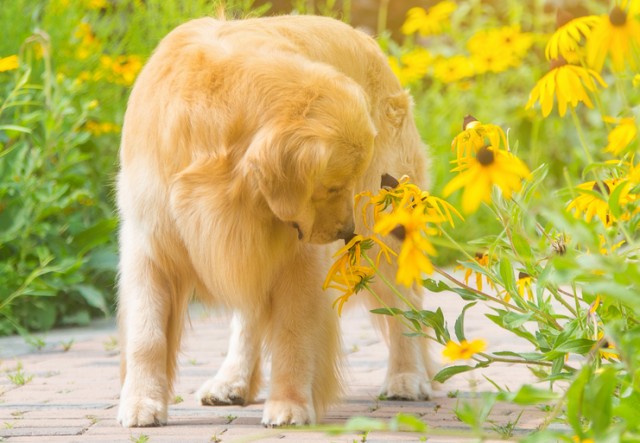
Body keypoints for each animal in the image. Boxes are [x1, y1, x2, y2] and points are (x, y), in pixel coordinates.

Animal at [117, 13, 432, 428]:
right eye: (333, 187)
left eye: (344, 183)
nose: (346, 232)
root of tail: (370, 42)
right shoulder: (150, 244)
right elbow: (146, 334)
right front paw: (141, 402)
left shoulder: (300, 259)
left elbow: (292, 333)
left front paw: (289, 405)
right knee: (247, 319)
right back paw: (231, 381)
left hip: (385, 238)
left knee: (405, 307)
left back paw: (406, 377)